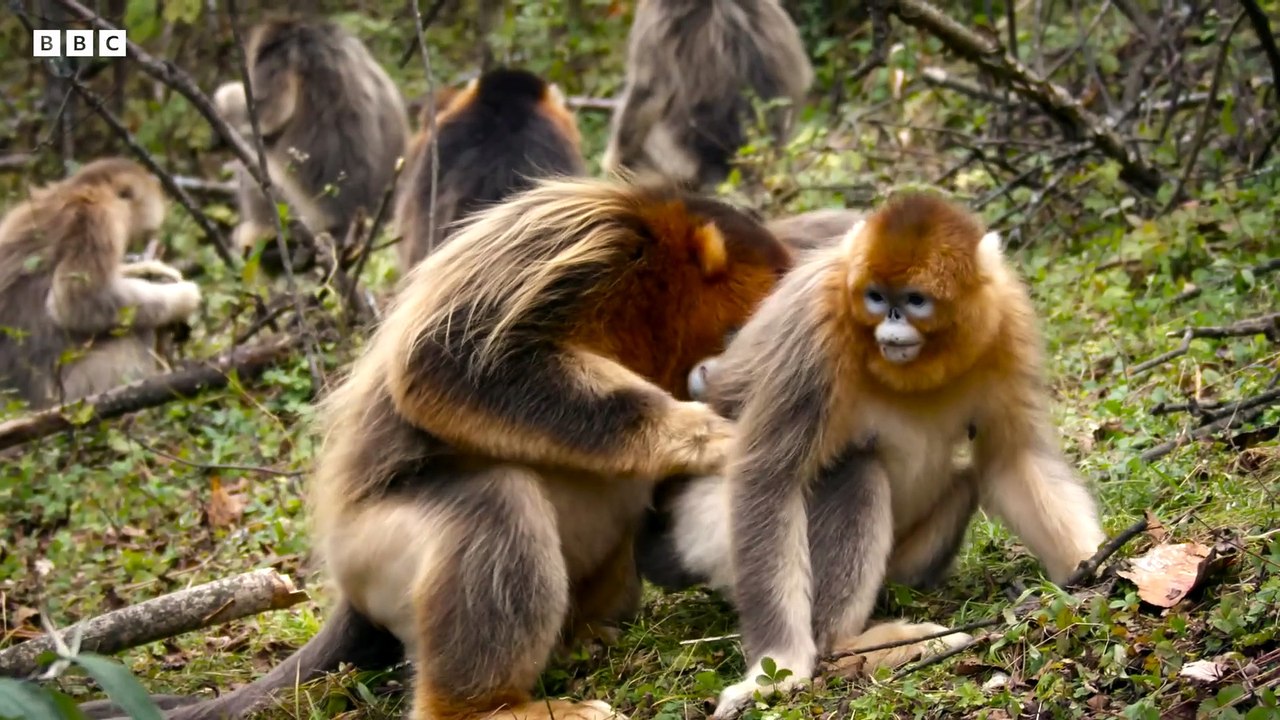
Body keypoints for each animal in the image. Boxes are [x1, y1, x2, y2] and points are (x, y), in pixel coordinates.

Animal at [0, 158, 202, 410]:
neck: (84, 189)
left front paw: (150, 269)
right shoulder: (98, 219)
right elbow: (75, 302)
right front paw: (185, 297)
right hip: (70, 393)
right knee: (132, 336)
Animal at [75, 176, 794, 720]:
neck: (652, 298)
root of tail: (350, 597)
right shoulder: (593, 239)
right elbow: (444, 363)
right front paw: (699, 433)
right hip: (369, 552)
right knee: (494, 507)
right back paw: (487, 708)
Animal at [633, 192, 1108, 719]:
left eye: (915, 300)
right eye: (877, 297)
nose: (892, 321)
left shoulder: (1006, 318)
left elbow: (1013, 457)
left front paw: (1096, 569)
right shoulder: (816, 322)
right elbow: (768, 479)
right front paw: (776, 673)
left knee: (966, 479)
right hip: (711, 532)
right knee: (855, 471)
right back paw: (857, 646)